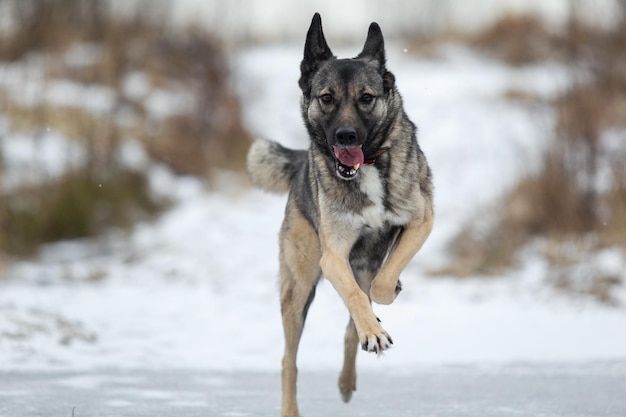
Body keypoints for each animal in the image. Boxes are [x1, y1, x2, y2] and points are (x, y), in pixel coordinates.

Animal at [246, 13, 432, 416]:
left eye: (367, 98)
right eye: (327, 98)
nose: (346, 136)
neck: (369, 167)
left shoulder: (420, 222)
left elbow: (379, 288)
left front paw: (385, 298)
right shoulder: (333, 258)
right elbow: (357, 297)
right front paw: (374, 327)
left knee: (351, 324)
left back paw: (351, 373)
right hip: (298, 289)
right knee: (289, 360)